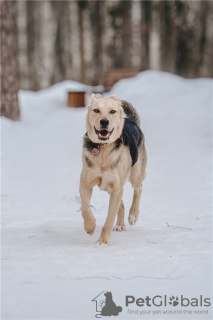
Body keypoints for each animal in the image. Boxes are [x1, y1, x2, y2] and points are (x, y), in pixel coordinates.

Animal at [79, 93, 147, 245]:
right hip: (110, 187)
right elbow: (85, 207)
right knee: (121, 204)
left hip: (135, 175)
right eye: (96, 110)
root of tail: (132, 121)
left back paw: (133, 215)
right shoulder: (86, 184)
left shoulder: (116, 188)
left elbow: (109, 219)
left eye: (112, 111)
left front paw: (103, 241)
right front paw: (90, 226)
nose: (104, 122)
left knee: (138, 189)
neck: (103, 149)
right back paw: (120, 224)